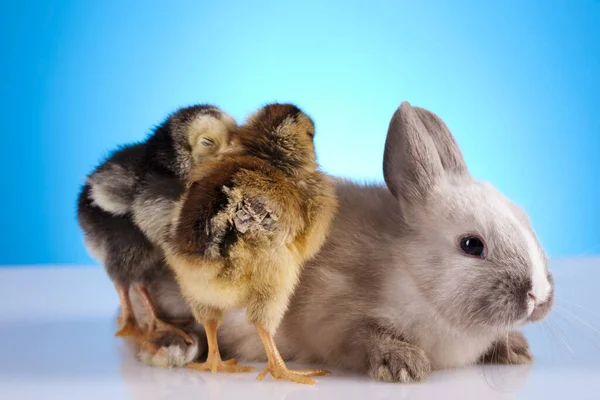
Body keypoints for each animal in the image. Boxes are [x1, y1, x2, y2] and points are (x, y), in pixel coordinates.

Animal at [126, 101, 552, 382]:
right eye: (471, 245)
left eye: (525, 221)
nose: (538, 296)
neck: (412, 274)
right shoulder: (334, 314)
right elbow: (364, 337)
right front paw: (403, 364)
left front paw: (515, 350)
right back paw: (172, 346)